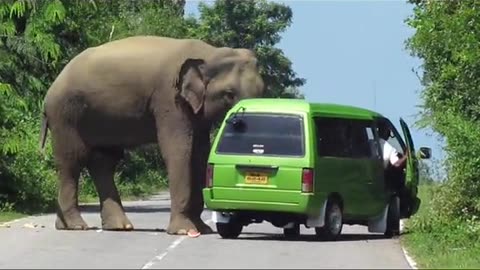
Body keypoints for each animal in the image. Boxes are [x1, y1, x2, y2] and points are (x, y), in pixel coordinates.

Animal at [39, 35, 266, 234]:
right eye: (229, 94)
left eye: (263, 89)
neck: (210, 53)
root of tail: (50, 91)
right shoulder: (169, 98)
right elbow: (179, 151)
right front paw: (184, 231)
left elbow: (200, 153)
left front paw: (202, 229)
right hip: (65, 115)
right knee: (72, 161)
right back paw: (75, 226)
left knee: (103, 162)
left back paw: (118, 226)